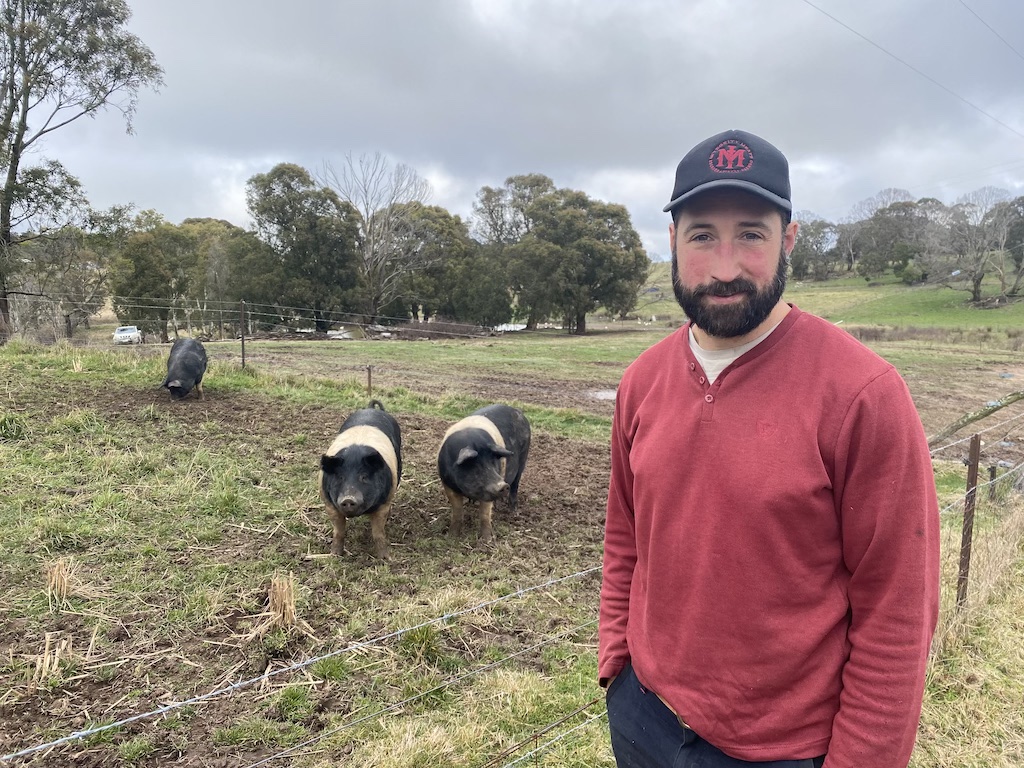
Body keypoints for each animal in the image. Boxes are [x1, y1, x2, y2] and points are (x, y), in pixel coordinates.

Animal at [317, 403, 401, 561]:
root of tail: (372, 408)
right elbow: (339, 531)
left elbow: (378, 533)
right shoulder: (329, 504)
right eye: (340, 477)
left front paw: (385, 558)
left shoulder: (383, 503)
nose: (348, 498)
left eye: (364, 477)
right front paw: (334, 555)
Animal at [436, 403, 532, 548]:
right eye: (475, 467)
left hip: (523, 459)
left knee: (515, 485)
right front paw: (452, 537)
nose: (503, 485)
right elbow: (457, 511)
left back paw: (514, 511)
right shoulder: (448, 485)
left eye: (493, 462)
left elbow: (485, 514)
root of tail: (517, 411)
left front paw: (487, 541)